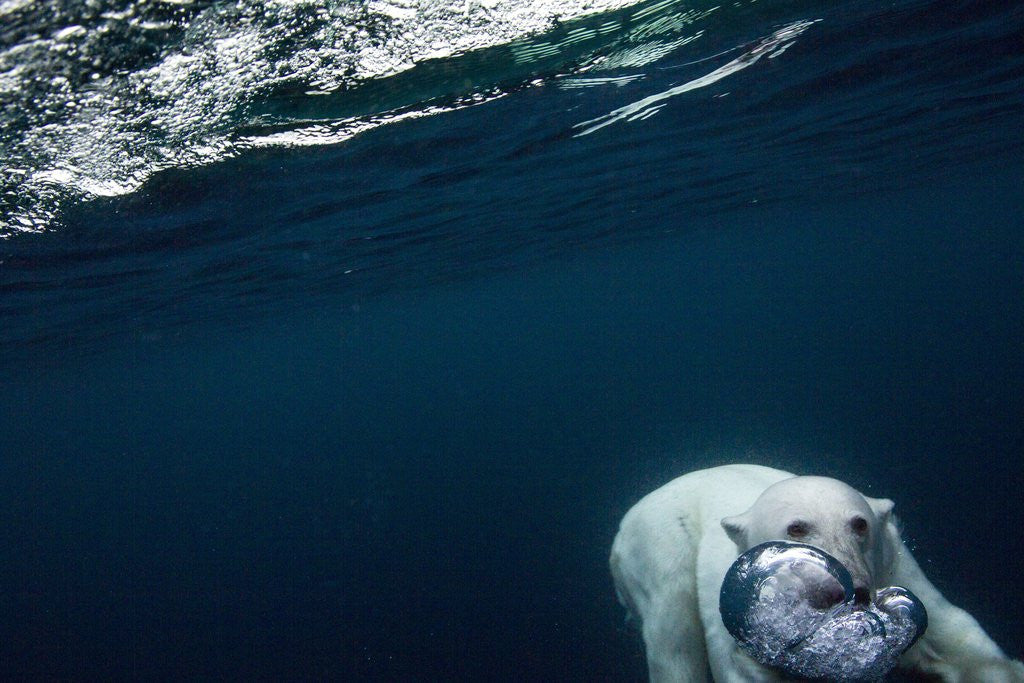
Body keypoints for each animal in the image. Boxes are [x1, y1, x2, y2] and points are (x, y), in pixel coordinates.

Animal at [610, 464, 1024, 682]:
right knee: (674, 643)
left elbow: (959, 642)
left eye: (859, 524)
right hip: (658, 552)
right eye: (797, 528)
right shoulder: (735, 610)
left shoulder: (900, 572)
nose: (850, 590)